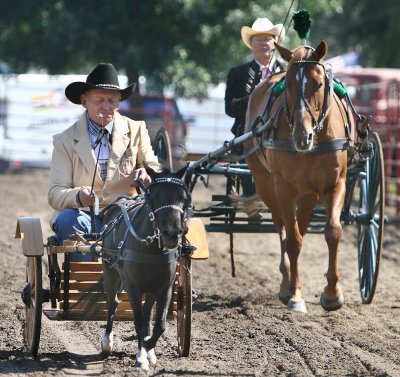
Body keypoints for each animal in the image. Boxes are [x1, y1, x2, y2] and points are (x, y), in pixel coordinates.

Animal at [244, 40, 354, 312]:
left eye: (319, 83)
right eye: (289, 86)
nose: (303, 137)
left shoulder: (334, 184)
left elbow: (333, 231)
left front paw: (332, 293)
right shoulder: (283, 187)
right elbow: (292, 240)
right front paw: (295, 294)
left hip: (309, 192)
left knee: (300, 225)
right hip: (266, 183)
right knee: (284, 228)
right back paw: (286, 282)